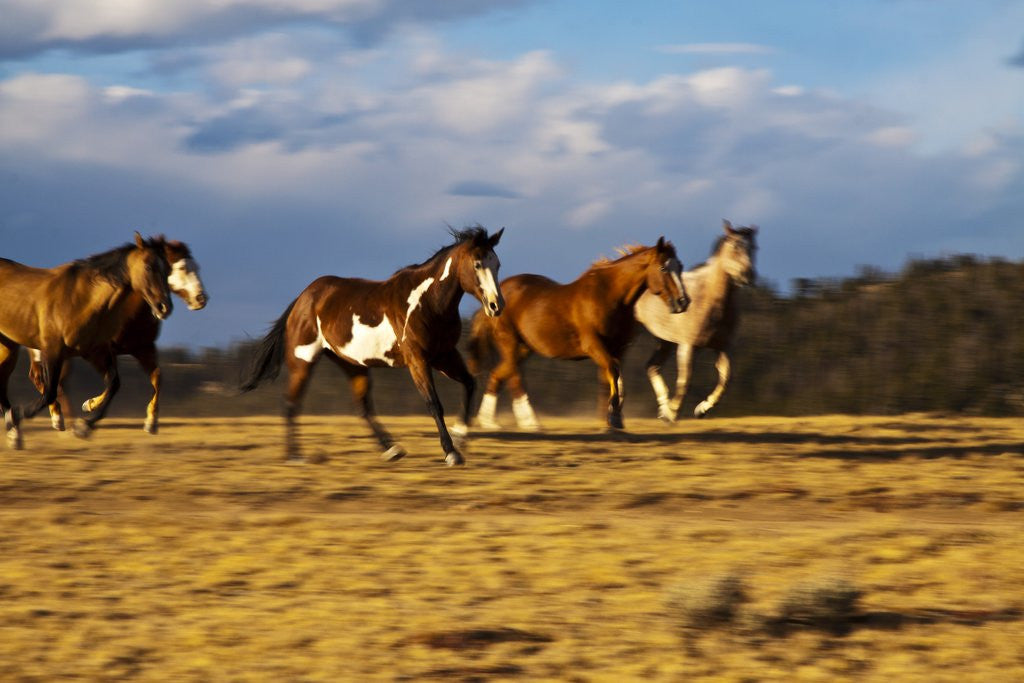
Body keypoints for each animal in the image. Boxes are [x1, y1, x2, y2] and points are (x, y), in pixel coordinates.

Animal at [0, 233, 174, 448]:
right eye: (149, 266)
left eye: (168, 269)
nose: (165, 307)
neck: (81, 300)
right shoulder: (52, 350)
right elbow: (49, 392)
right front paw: (16, 415)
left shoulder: (94, 351)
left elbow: (114, 384)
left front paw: (84, 424)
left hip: (8, 345)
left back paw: (15, 434)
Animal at [27, 239, 208, 435]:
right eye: (181, 267)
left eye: (197, 266)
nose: (201, 299)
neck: (129, 313)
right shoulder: (102, 350)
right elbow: (112, 382)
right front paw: (89, 406)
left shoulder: (144, 348)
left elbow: (157, 378)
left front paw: (151, 422)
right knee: (42, 378)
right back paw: (57, 418)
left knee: (55, 382)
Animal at [239, 226, 505, 466]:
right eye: (477, 264)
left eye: (497, 264)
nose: (496, 305)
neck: (428, 303)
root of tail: (302, 299)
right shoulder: (417, 360)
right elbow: (433, 403)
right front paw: (451, 452)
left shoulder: (444, 356)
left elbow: (470, 384)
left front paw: (460, 439)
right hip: (303, 361)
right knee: (290, 403)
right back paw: (295, 456)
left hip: (352, 364)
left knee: (362, 407)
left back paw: (392, 450)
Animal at [467, 237, 688, 431]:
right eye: (663, 268)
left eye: (680, 266)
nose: (683, 302)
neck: (609, 297)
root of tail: (492, 300)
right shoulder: (594, 345)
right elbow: (613, 372)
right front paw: (612, 417)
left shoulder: (618, 348)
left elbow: (611, 378)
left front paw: (611, 420)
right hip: (509, 342)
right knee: (514, 378)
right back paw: (530, 422)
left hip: (524, 348)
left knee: (497, 375)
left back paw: (490, 422)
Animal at [634, 220, 758, 421]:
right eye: (734, 246)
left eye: (754, 247)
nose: (748, 276)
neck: (711, 300)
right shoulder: (688, 346)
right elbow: (685, 380)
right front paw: (672, 413)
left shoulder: (722, 347)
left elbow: (726, 377)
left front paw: (701, 409)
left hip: (664, 342)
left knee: (651, 367)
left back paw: (662, 407)